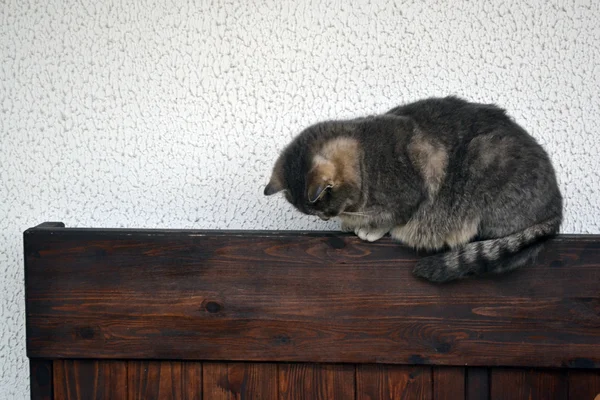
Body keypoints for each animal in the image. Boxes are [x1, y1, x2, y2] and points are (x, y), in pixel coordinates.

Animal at [264, 95, 564, 282]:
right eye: (313, 214)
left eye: (322, 205)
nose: (326, 218)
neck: (365, 159)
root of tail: (556, 208)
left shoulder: (418, 181)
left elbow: (391, 216)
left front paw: (370, 229)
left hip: (486, 159)